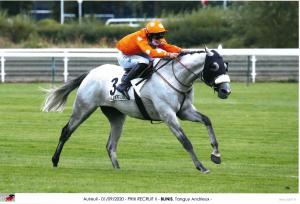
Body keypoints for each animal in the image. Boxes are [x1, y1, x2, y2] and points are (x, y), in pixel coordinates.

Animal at [42, 47, 231, 173]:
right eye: (214, 66)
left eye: (226, 66)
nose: (226, 91)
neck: (175, 77)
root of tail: (91, 72)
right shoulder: (168, 115)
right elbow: (185, 141)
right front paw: (201, 166)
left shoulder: (184, 112)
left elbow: (207, 120)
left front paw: (216, 154)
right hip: (83, 108)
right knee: (66, 131)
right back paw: (55, 160)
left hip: (116, 116)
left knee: (111, 145)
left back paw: (117, 168)